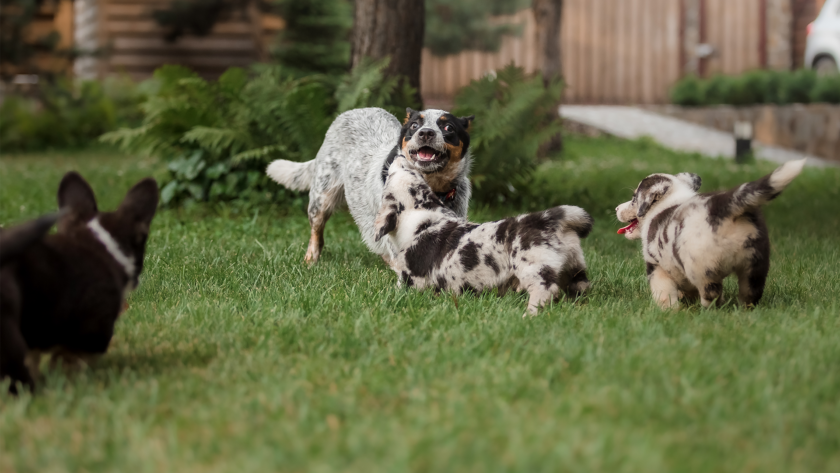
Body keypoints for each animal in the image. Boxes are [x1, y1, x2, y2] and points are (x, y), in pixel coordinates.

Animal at [370, 157, 592, 316]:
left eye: (394, 173)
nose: (400, 156)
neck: (420, 216)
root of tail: (549, 218)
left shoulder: (409, 279)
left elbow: (398, 289)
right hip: (575, 267)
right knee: (579, 287)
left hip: (534, 268)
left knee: (545, 290)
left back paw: (529, 314)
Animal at [616, 158, 808, 310]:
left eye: (634, 199)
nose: (617, 209)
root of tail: (725, 204)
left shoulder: (656, 267)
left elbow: (664, 294)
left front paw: (670, 311)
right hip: (755, 266)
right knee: (750, 296)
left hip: (702, 268)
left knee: (712, 296)